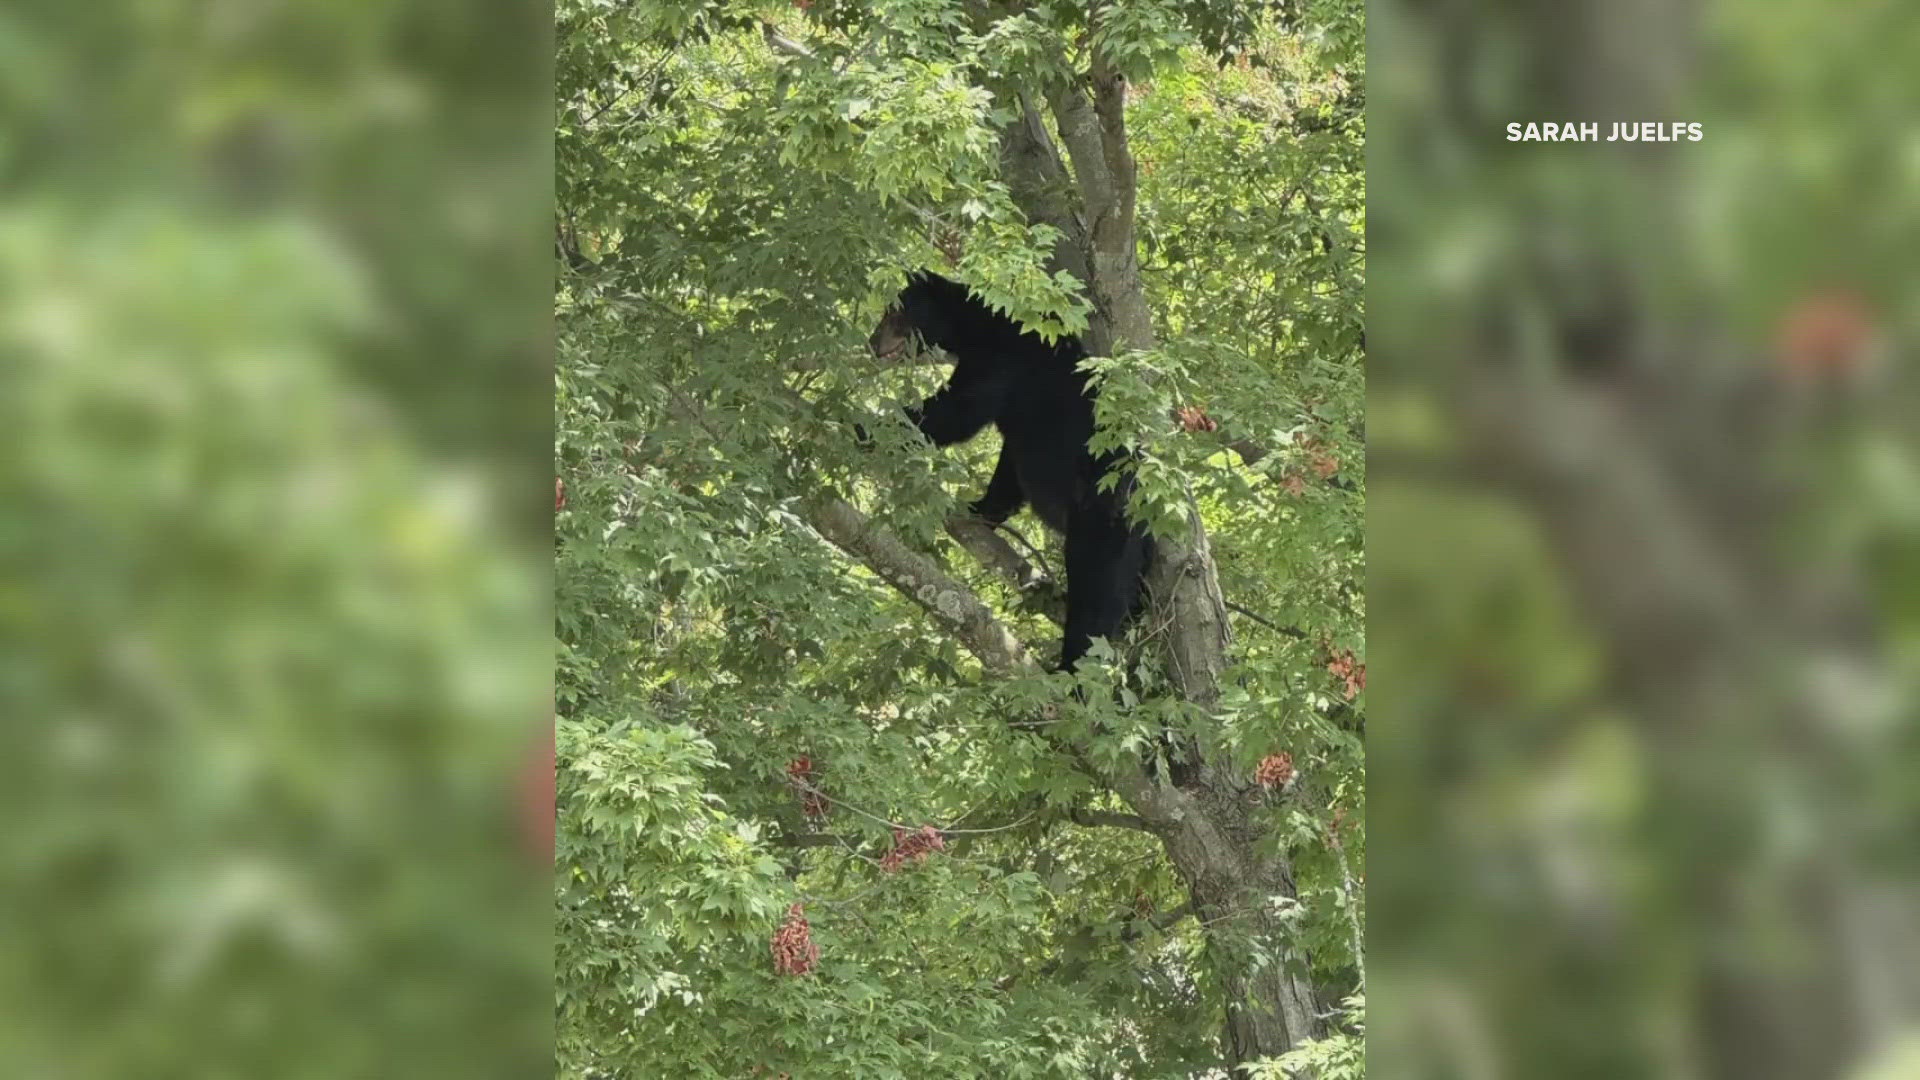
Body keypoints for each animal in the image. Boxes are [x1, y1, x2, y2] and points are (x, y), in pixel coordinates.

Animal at [871, 269, 1152, 668]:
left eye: (893, 310)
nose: (871, 342)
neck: (975, 326)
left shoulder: (1002, 364)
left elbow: (955, 412)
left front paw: (870, 426)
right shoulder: (1019, 427)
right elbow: (1008, 468)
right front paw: (980, 507)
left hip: (1102, 522)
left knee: (1096, 595)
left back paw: (1070, 665)